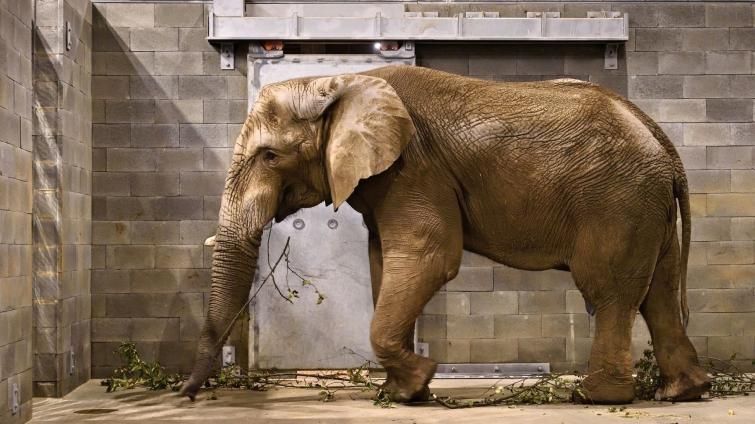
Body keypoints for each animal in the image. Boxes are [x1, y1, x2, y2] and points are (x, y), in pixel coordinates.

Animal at [180, 65, 712, 404]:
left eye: (269, 156)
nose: (187, 395)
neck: (339, 80)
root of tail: (664, 142)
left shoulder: (415, 167)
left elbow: (427, 256)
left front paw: (417, 383)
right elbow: (384, 262)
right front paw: (403, 392)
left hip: (617, 203)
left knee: (610, 292)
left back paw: (594, 396)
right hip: (647, 208)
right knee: (659, 293)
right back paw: (682, 392)